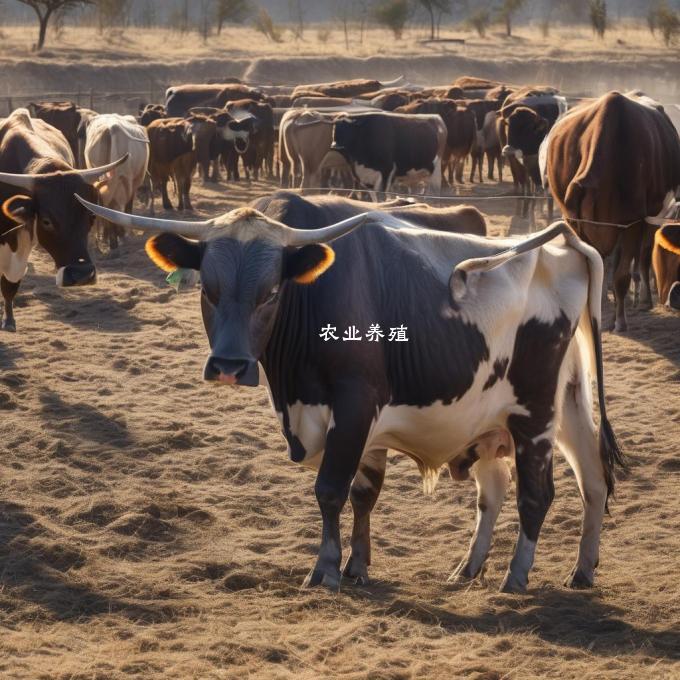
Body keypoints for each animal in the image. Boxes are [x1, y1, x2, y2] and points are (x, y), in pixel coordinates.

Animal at [0, 108, 127, 330]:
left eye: (91, 215)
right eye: (46, 221)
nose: (81, 275)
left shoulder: (21, 242)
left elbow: (10, 283)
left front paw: (8, 320)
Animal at [77, 195, 624, 596]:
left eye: (270, 292)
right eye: (207, 290)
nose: (229, 366)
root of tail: (565, 245)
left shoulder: (355, 405)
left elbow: (330, 490)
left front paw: (325, 569)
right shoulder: (363, 425)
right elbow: (364, 493)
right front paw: (358, 565)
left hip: (535, 413)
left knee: (538, 493)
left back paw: (516, 575)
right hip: (545, 407)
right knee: (574, 482)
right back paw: (552, 569)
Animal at [83, 111, 149, 250]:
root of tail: (111, 127)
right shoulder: (134, 180)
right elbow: (127, 205)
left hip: (99, 171)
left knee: (105, 201)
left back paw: (109, 239)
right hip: (126, 178)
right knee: (115, 202)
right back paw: (117, 238)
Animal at [544, 91, 680, 332]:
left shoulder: (632, 224)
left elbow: (621, 276)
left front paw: (619, 320)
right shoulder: (579, 225)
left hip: (650, 218)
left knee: (643, 256)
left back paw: (643, 300)